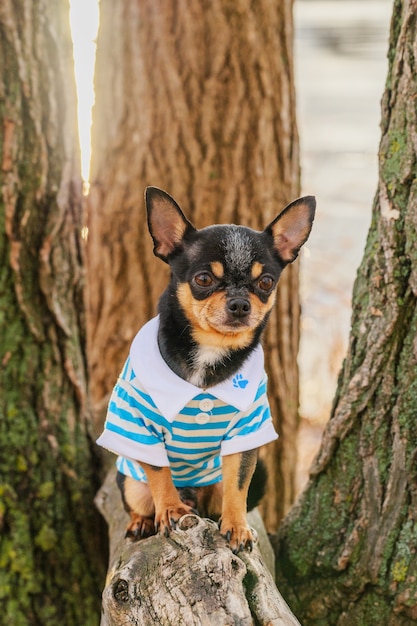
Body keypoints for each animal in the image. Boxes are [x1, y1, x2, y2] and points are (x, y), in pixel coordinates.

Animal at [96, 186, 312, 552]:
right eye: (203, 278)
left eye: (266, 283)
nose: (239, 304)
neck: (211, 352)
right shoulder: (141, 427)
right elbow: (160, 473)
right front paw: (170, 509)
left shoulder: (245, 435)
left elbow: (238, 486)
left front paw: (237, 526)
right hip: (130, 481)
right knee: (140, 500)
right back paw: (144, 521)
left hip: (214, 483)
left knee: (220, 498)